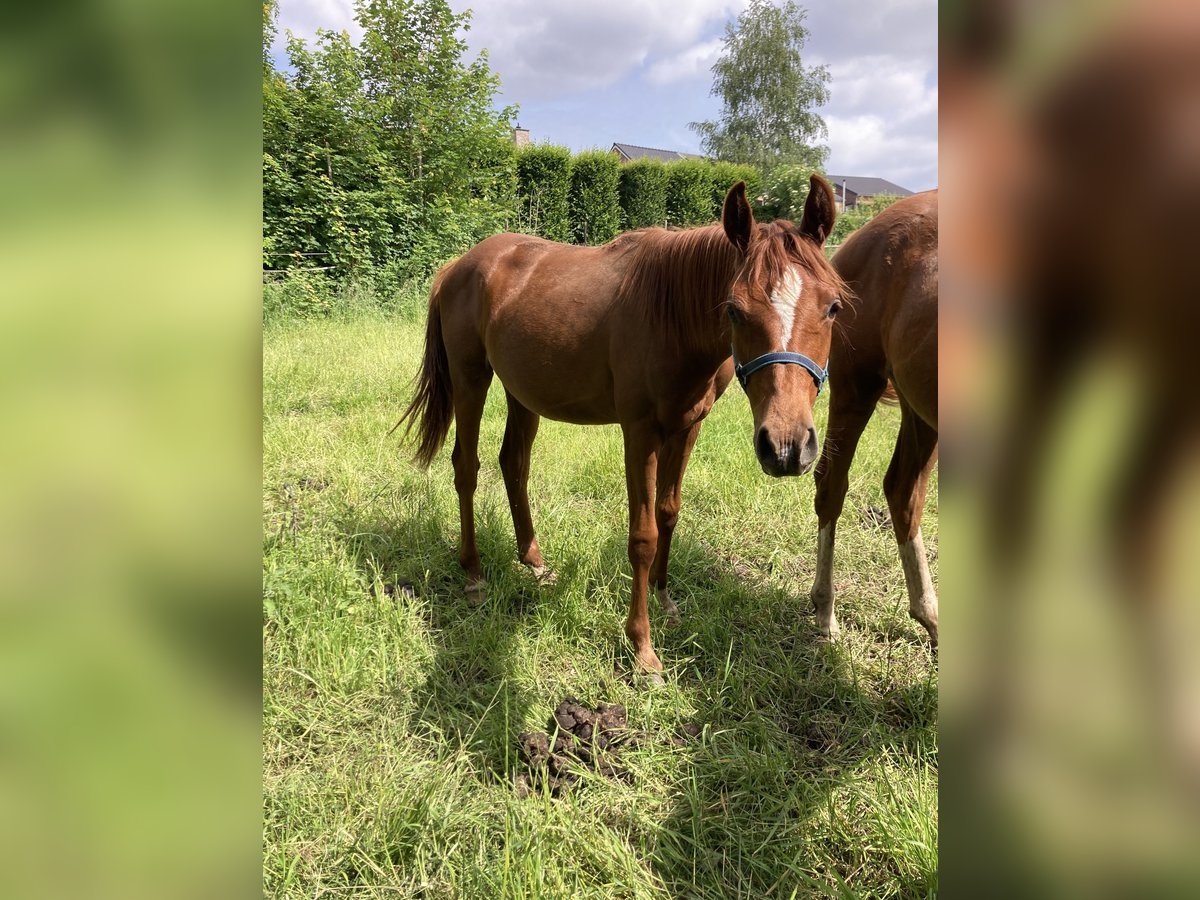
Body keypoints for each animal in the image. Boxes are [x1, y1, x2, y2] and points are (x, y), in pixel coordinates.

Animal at [403, 176, 844, 672]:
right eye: (734, 309)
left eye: (832, 307)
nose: (786, 446)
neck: (671, 314)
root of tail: (458, 265)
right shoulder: (639, 433)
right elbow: (643, 536)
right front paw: (642, 648)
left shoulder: (688, 428)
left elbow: (669, 513)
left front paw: (665, 600)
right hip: (470, 380)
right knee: (466, 468)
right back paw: (474, 574)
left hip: (522, 394)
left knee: (513, 464)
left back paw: (533, 560)